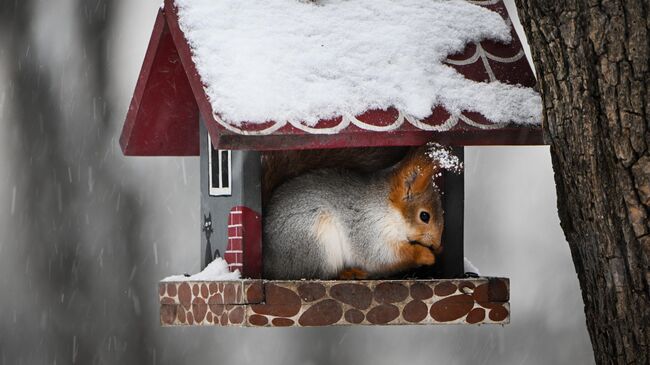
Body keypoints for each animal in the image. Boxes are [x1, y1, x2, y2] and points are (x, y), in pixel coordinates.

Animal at [260, 145, 442, 278]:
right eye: (424, 216)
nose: (438, 245)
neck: (387, 209)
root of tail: (268, 261)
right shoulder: (368, 227)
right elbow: (381, 256)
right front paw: (425, 255)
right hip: (316, 245)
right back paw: (349, 273)